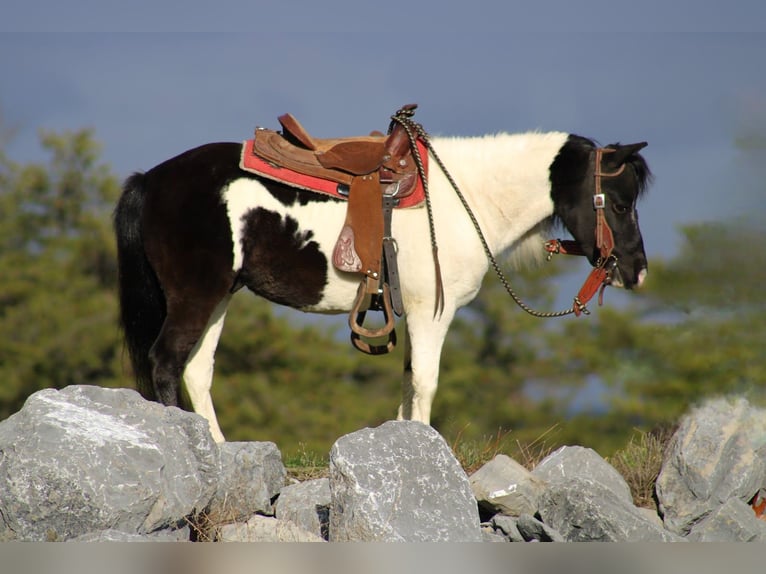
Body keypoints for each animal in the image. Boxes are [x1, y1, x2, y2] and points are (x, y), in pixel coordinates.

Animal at [113, 119, 651, 443]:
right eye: (621, 202)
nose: (638, 271)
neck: (465, 196)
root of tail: (152, 179)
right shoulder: (432, 314)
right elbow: (427, 384)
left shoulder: (413, 316)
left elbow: (410, 383)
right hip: (195, 296)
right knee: (166, 363)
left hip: (218, 297)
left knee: (196, 371)